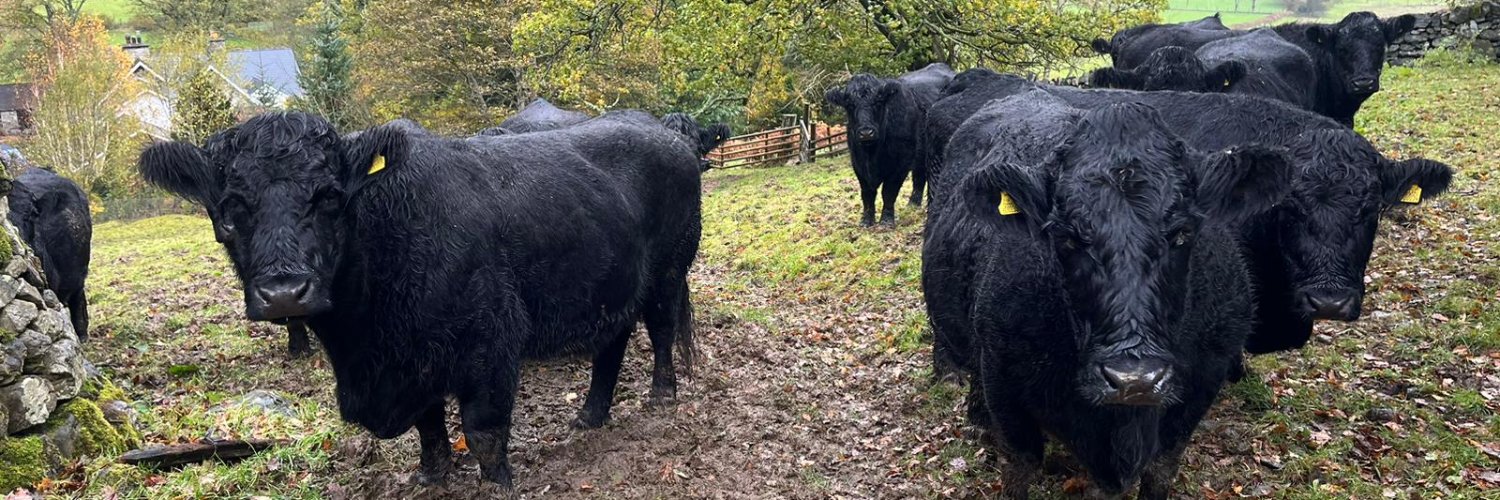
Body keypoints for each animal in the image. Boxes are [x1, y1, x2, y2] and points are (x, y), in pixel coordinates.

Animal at [138, 111, 703, 489]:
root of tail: (667, 134)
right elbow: (429, 428)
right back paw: (590, 414)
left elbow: (483, 431)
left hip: (669, 272)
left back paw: (662, 394)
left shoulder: (491, 342)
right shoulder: (412, 359)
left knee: (660, 330)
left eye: (330, 197)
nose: (283, 292)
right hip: (613, 286)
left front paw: (495, 485)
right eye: (230, 208)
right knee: (612, 343)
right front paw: (431, 478)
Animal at [825, 63, 955, 225]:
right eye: (849, 105)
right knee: (919, 176)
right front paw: (866, 220)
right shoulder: (858, 164)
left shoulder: (901, 164)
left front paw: (886, 221)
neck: (872, 154)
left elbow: (889, 191)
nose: (866, 132)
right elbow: (867, 193)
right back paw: (913, 204)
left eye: (878, 102)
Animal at [924, 90, 1294, 498]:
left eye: (1183, 233)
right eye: (1067, 237)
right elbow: (1019, 467)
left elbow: (1160, 471)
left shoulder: (1202, 381)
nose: (1134, 380)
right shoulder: (1004, 383)